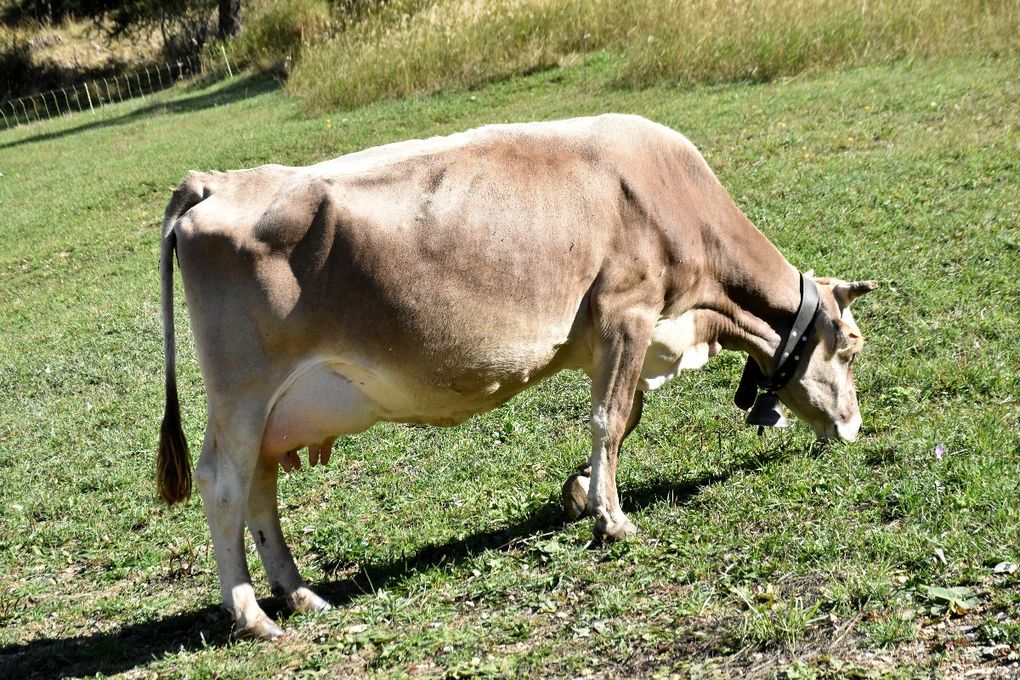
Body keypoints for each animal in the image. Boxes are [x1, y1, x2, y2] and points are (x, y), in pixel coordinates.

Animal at [157, 114, 877, 640]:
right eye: (851, 347)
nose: (853, 425)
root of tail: (213, 182)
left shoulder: (621, 336)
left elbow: (626, 418)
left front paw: (581, 491)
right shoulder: (627, 309)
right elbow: (610, 418)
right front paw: (612, 520)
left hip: (273, 411)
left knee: (260, 487)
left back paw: (301, 593)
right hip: (242, 391)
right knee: (223, 484)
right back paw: (252, 615)